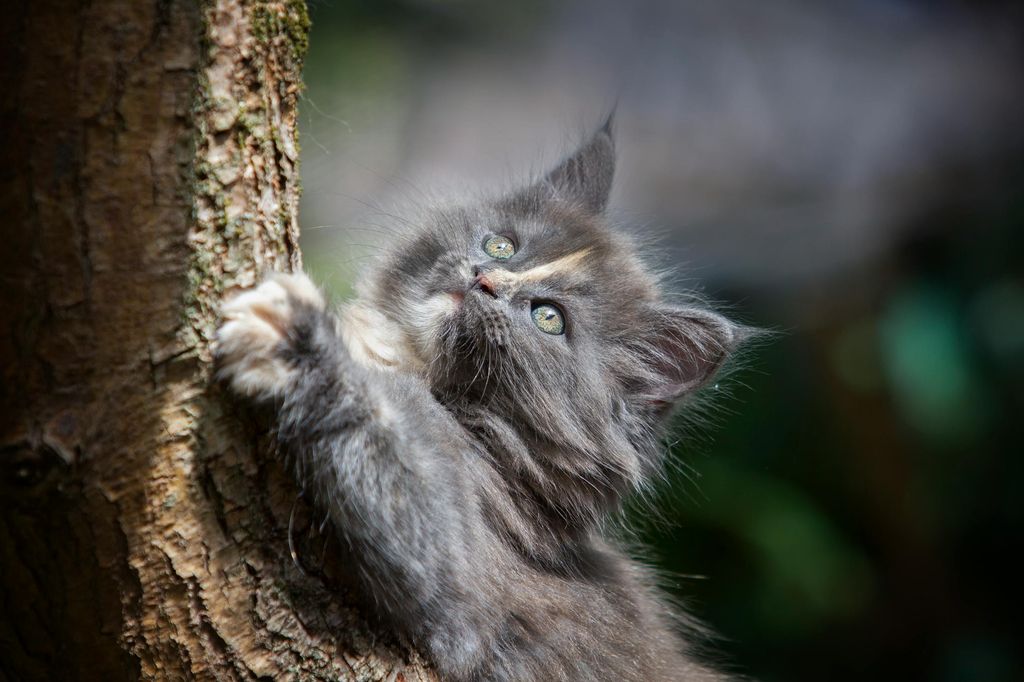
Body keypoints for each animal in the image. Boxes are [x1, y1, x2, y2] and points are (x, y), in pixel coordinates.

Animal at [216, 119, 749, 675]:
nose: (484, 278)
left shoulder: (463, 575)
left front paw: (298, 336)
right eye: (501, 246)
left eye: (548, 318)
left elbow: (382, 427)